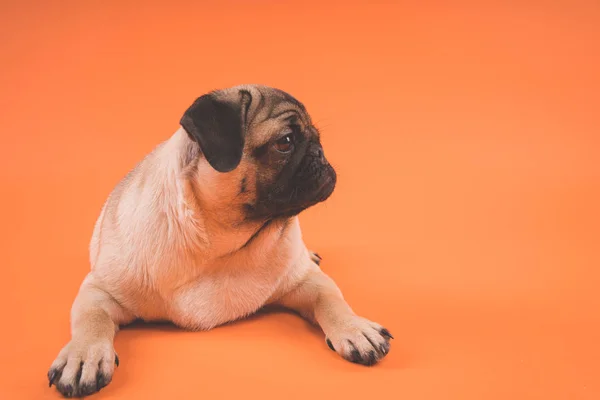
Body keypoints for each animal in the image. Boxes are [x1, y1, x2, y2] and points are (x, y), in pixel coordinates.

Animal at [48, 84, 394, 396]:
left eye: (317, 138)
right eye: (285, 142)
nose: (320, 152)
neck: (220, 243)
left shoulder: (305, 280)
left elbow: (332, 299)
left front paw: (354, 328)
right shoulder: (100, 291)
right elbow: (92, 321)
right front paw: (83, 356)